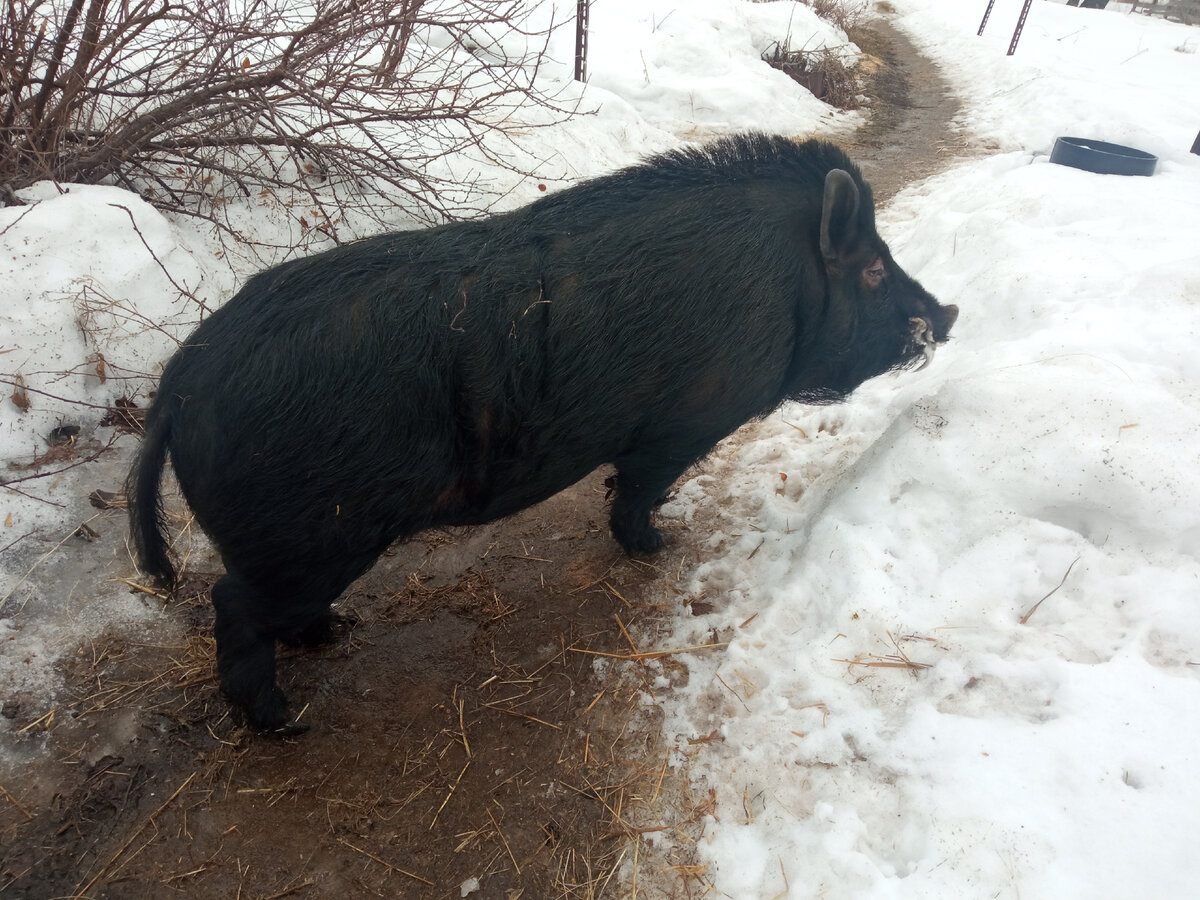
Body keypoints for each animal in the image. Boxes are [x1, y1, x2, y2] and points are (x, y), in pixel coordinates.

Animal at [129, 137, 955, 734]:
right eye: (873, 270)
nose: (946, 313)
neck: (789, 286)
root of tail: (180, 379)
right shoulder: (684, 422)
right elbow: (640, 488)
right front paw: (659, 546)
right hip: (306, 538)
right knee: (232, 604)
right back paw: (284, 721)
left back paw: (334, 633)